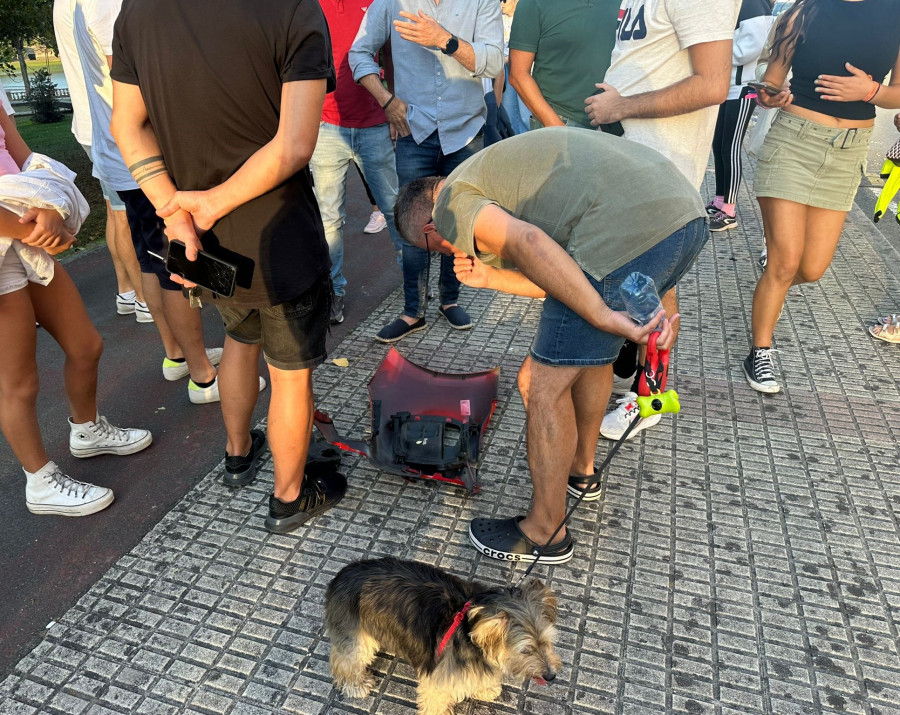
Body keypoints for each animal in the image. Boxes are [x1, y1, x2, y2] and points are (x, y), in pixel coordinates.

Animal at [324, 560, 564, 715]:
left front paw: (485, 688)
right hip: (356, 635)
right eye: (526, 650)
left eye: (548, 642)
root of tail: (341, 575)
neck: (470, 629)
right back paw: (356, 684)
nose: (551, 676)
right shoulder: (439, 680)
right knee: (345, 661)